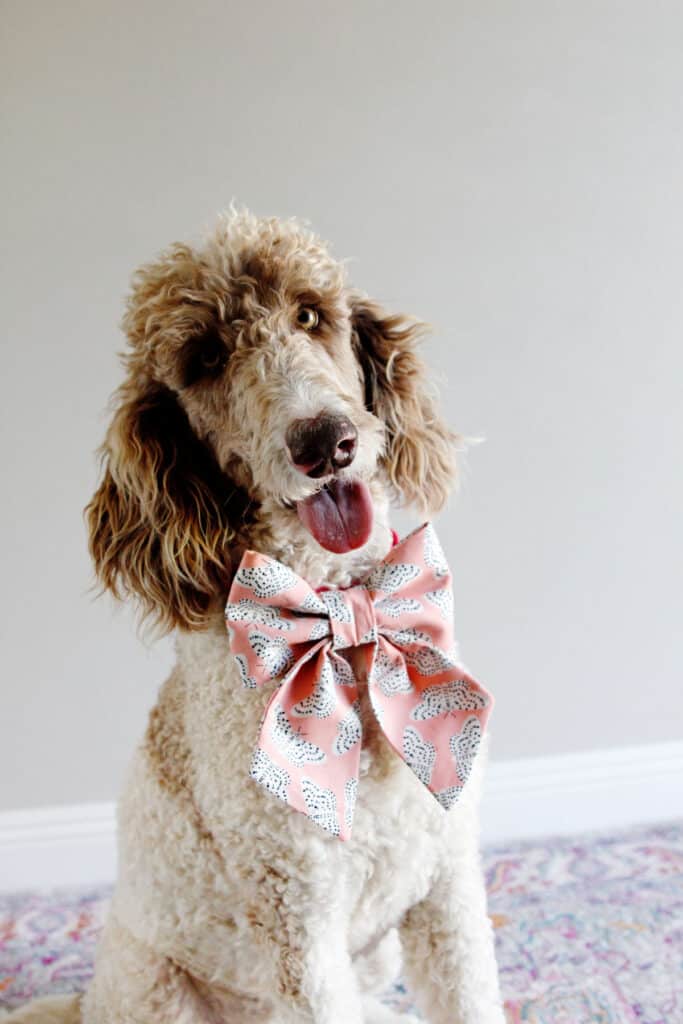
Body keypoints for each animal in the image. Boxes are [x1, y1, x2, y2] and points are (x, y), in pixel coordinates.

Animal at [6, 209, 501, 1024]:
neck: (342, 624)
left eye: (310, 315)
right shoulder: (299, 922)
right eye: (205, 357)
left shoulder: (447, 884)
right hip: (161, 985)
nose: (324, 441)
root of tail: (88, 1000)